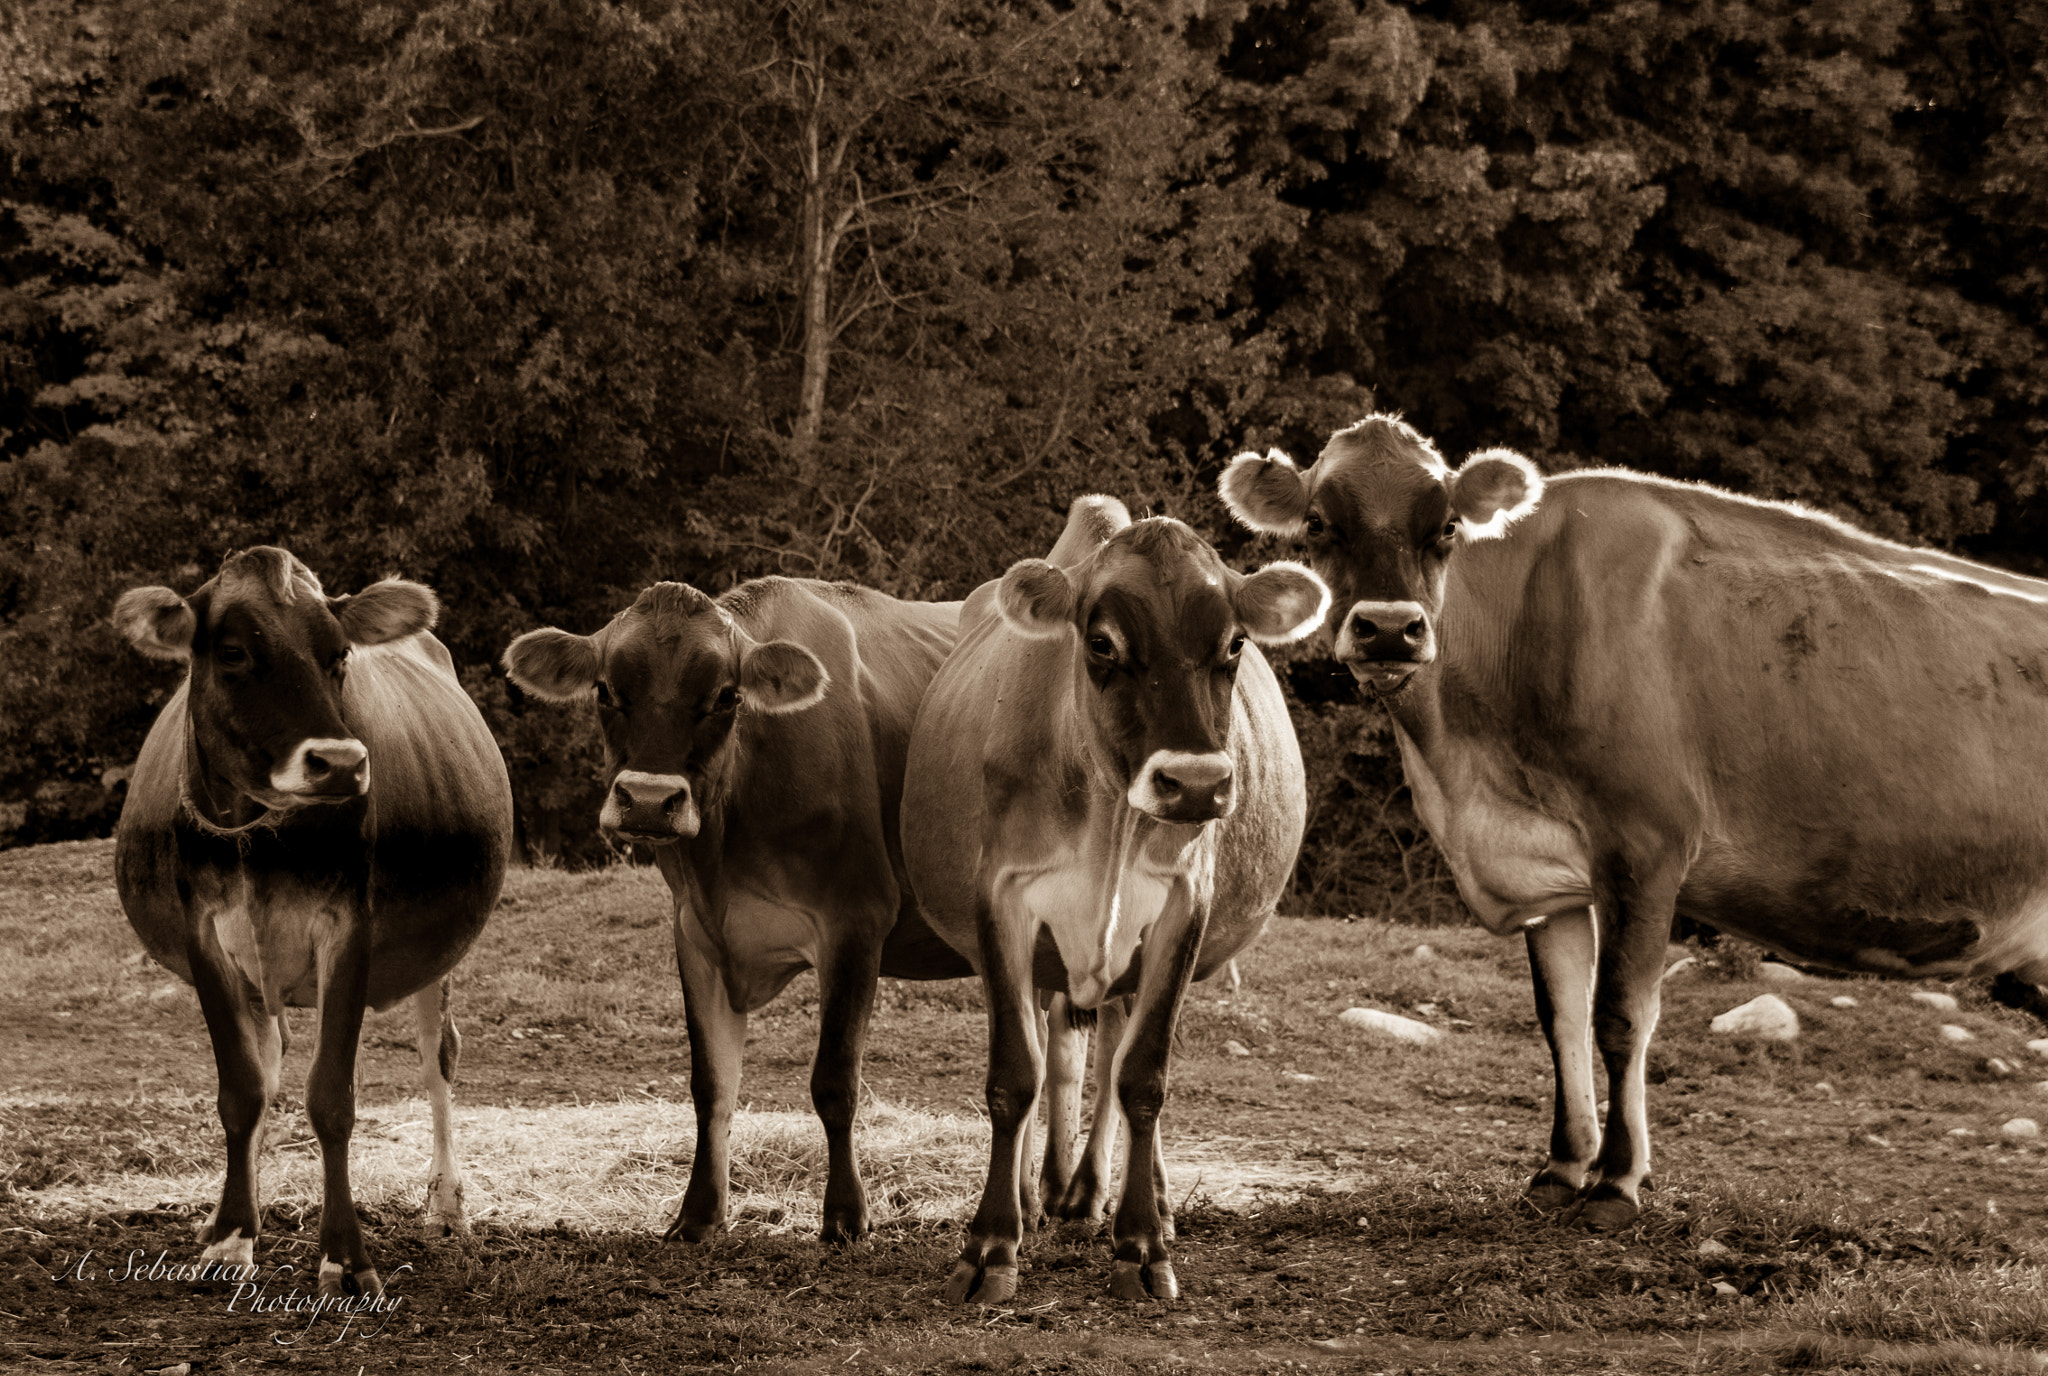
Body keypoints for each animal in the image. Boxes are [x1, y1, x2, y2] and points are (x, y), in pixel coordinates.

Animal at [113, 547, 512, 1297]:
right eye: (232, 652)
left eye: (339, 655)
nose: (342, 763)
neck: (262, 839)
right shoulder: (204, 934)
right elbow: (242, 1090)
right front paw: (231, 1235)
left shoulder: (349, 931)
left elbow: (330, 1095)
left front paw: (346, 1259)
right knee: (269, 1065)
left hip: (440, 953)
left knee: (438, 1054)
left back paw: (447, 1205)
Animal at [501, 576, 972, 1243]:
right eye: (606, 690)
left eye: (726, 695)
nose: (650, 801)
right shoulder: (696, 932)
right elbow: (711, 1083)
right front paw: (698, 1214)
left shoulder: (857, 921)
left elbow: (835, 1081)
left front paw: (845, 1217)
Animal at [903, 496, 1328, 1303]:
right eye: (1101, 644)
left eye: (1234, 643)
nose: (1195, 784)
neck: (1110, 820)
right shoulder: (1002, 901)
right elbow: (1017, 1075)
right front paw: (992, 1244)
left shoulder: (1182, 906)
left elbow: (1143, 1076)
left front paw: (1142, 1244)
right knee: (1061, 1050)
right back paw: (1044, 1194)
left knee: (1117, 1048)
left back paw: (1123, 1198)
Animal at [1221, 414, 2048, 1231]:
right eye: (1318, 523)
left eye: (1447, 525)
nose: (1391, 630)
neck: (1464, 769)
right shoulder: (1548, 872)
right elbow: (1559, 1016)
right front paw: (1561, 1168)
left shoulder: (1646, 846)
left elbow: (1620, 1016)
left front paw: (1617, 1182)